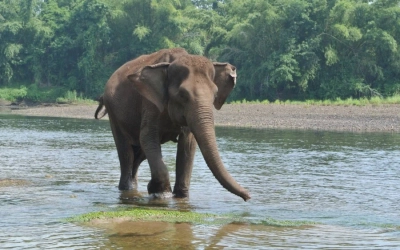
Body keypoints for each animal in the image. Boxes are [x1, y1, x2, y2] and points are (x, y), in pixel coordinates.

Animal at [95, 48, 250, 201]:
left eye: (215, 94)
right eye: (182, 94)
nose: (248, 196)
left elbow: (187, 144)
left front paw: (180, 196)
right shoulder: (150, 103)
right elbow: (147, 137)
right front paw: (160, 193)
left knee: (139, 153)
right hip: (114, 114)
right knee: (126, 151)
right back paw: (127, 189)